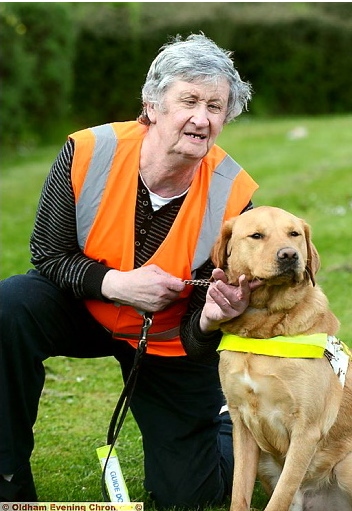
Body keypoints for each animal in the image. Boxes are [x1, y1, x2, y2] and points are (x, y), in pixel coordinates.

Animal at [212, 206, 352, 510]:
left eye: (294, 234)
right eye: (256, 235)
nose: (289, 255)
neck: (263, 332)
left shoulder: (306, 429)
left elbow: (280, 496)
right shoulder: (241, 424)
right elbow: (240, 492)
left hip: (346, 466)